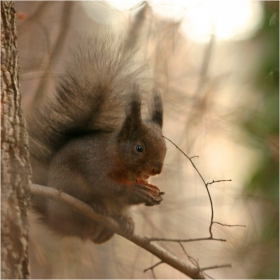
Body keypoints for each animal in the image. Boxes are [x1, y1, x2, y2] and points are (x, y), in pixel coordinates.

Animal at [26, 32, 166, 243]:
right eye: (139, 148)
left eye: (165, 147)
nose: (156, 169)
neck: (116, 154)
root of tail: (51, 214)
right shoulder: (97, 163)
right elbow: (105, 185)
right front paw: (135, 191)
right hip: (70, 189)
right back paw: (96, 206)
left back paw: (123, 222)